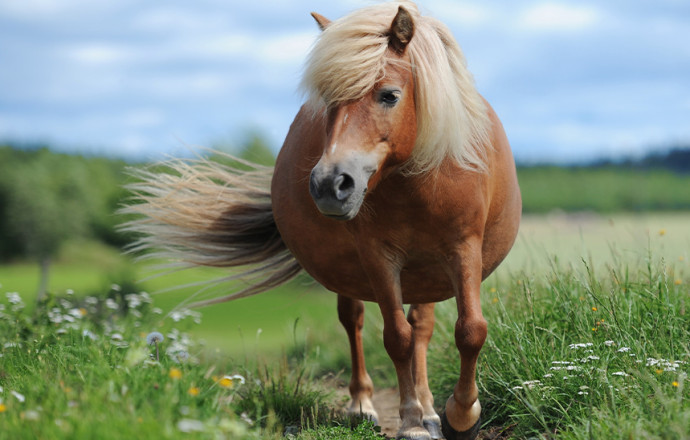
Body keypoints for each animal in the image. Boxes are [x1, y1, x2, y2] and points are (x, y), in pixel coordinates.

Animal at [123, 2, 521, 439]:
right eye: (328, 101)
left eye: (389, 95)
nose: (330, 184)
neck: (418, 181)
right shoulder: (378, 257)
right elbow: (396, 337)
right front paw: (413, 422)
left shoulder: (463, 248)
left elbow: (470, 330)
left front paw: (458, 416)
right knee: (356, 321)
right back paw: (363, 405)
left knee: (422, 326)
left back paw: (431, 409)